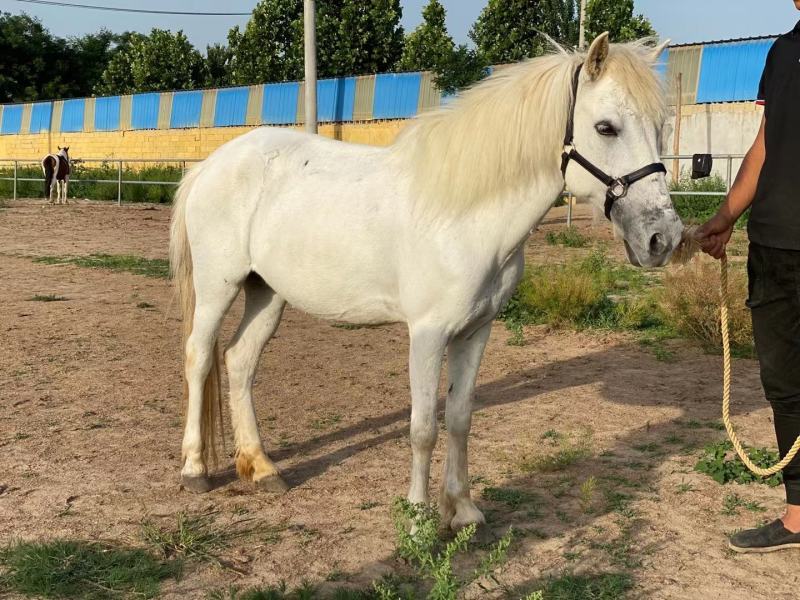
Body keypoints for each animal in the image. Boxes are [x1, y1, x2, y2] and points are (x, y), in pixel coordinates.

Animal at [169, 33, 682, 531]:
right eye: (606, 128)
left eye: (660, 127)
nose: (663, 238)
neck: (466, 215)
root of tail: (213, 163)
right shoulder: (427, 334)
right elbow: (422, 428)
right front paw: (418, 520)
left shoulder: (476, 332)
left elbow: (459, 418)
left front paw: (462, 510)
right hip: (219, 287)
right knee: (199, 356)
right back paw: (194, 470)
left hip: (268, 292)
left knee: (239, 361)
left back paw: (261, 468)